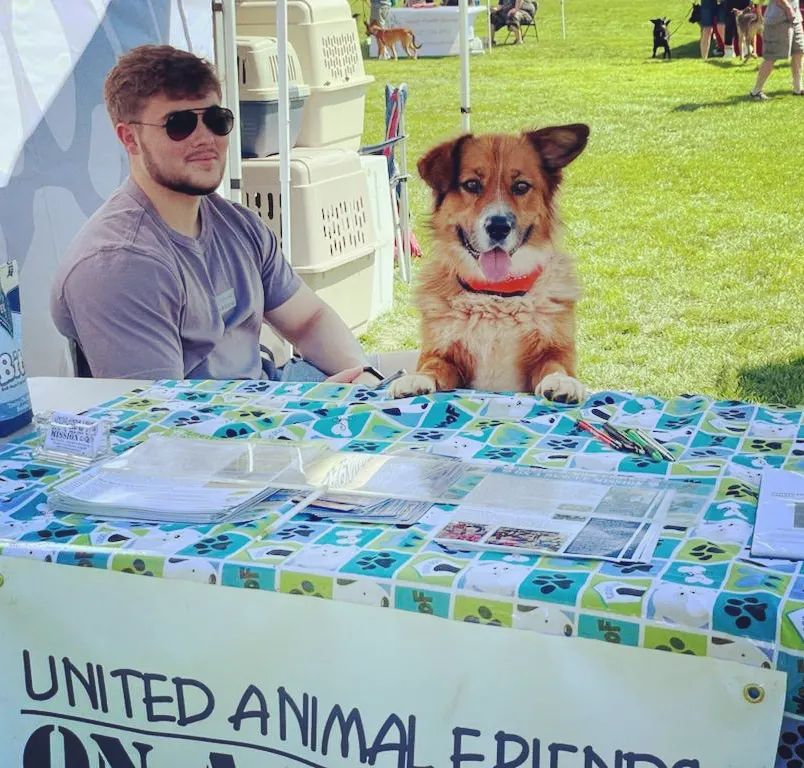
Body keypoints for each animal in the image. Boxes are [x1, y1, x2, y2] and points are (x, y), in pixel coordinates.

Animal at [390, 124, 592, 402]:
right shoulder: (441, 354)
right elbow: (434, 366)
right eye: (472, 184)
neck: (496, 294)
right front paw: (415, 379)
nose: (498, 227)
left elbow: (554, 365)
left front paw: (562, 382)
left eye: (521, 186)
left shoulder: (555, 351)